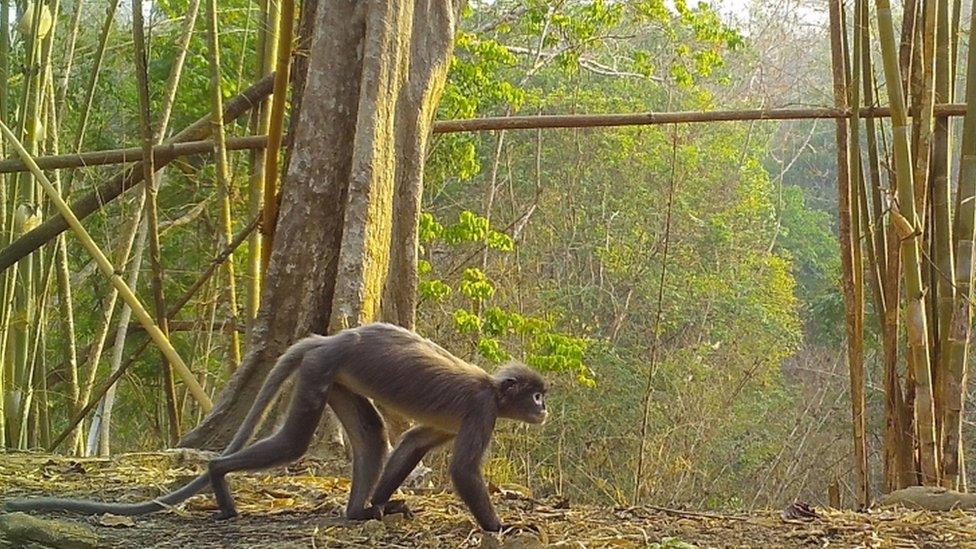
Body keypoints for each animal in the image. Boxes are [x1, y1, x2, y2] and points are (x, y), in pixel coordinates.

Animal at [3, 322, 548, 532]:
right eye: (536, 394)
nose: (543, 409)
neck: (494, 389)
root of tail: (328, 338)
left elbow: (414, 441)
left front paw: (381, 504)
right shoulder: (481, 409)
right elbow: (462, 471)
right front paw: (502, 526)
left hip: (333, 376)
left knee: (372, 435)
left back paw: (358, 512)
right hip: (322, 369)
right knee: (293, 442)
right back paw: (218, 476)